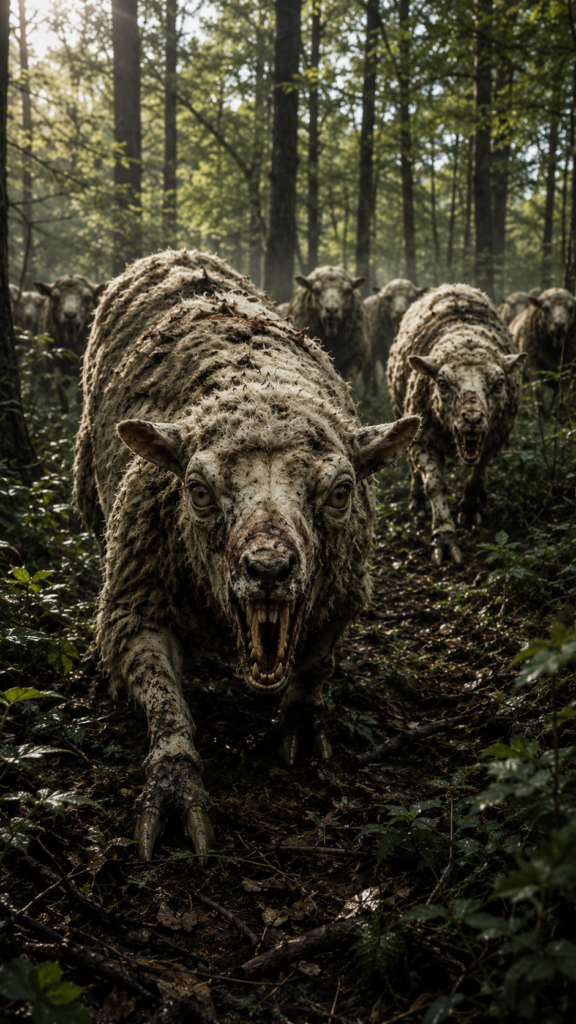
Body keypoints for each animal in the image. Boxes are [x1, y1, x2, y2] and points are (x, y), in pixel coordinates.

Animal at [34, 274, 107, 413]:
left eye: (88, 298)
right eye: (54, 298)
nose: (70, 315)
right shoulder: (56, 362)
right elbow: (60, 388)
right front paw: (64, 413)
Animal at [73, 248, 419, 861]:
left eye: (341, 493)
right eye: (197, 491)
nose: (268, 569)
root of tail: (177, 251)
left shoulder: (341, 596)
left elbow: (316, 666)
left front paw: (299, 725)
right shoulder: (133, 609)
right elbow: (165, 703)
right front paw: (174, 782)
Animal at [387, 283, 526, 565]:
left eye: (499, 383)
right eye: (441, 383)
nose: (472, 419)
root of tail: (451, 286)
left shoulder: (496, 439)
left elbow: (477, 475)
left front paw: (470, 508)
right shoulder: (422, 439)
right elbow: (435, 484)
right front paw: (444, 535)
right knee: (412, 468)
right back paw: (416, 497)